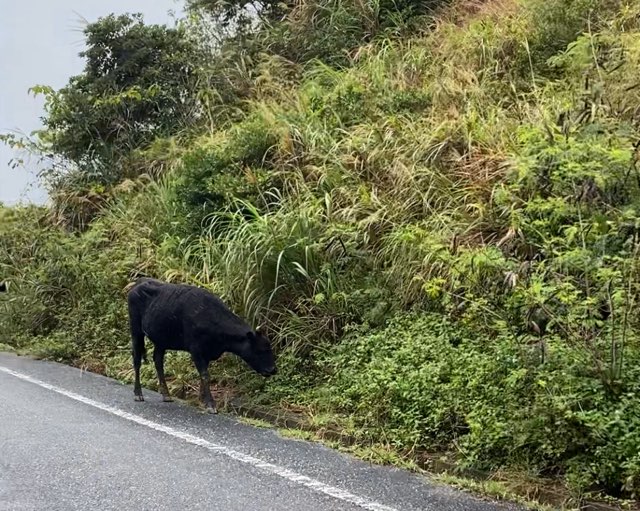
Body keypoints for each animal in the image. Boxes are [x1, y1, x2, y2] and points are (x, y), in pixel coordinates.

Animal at [127, 278, 276, 414]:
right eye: (260, 350)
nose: (273, 370)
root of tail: (140, 281)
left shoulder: (208, 352)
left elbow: (203, 375)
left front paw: (201, 400)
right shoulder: (196, 349)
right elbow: (205, 375)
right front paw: (210, 404)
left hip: (161, 339)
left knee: (158, 360)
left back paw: (166, 394)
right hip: (136, 330)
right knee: (137, 359)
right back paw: (138, 393)